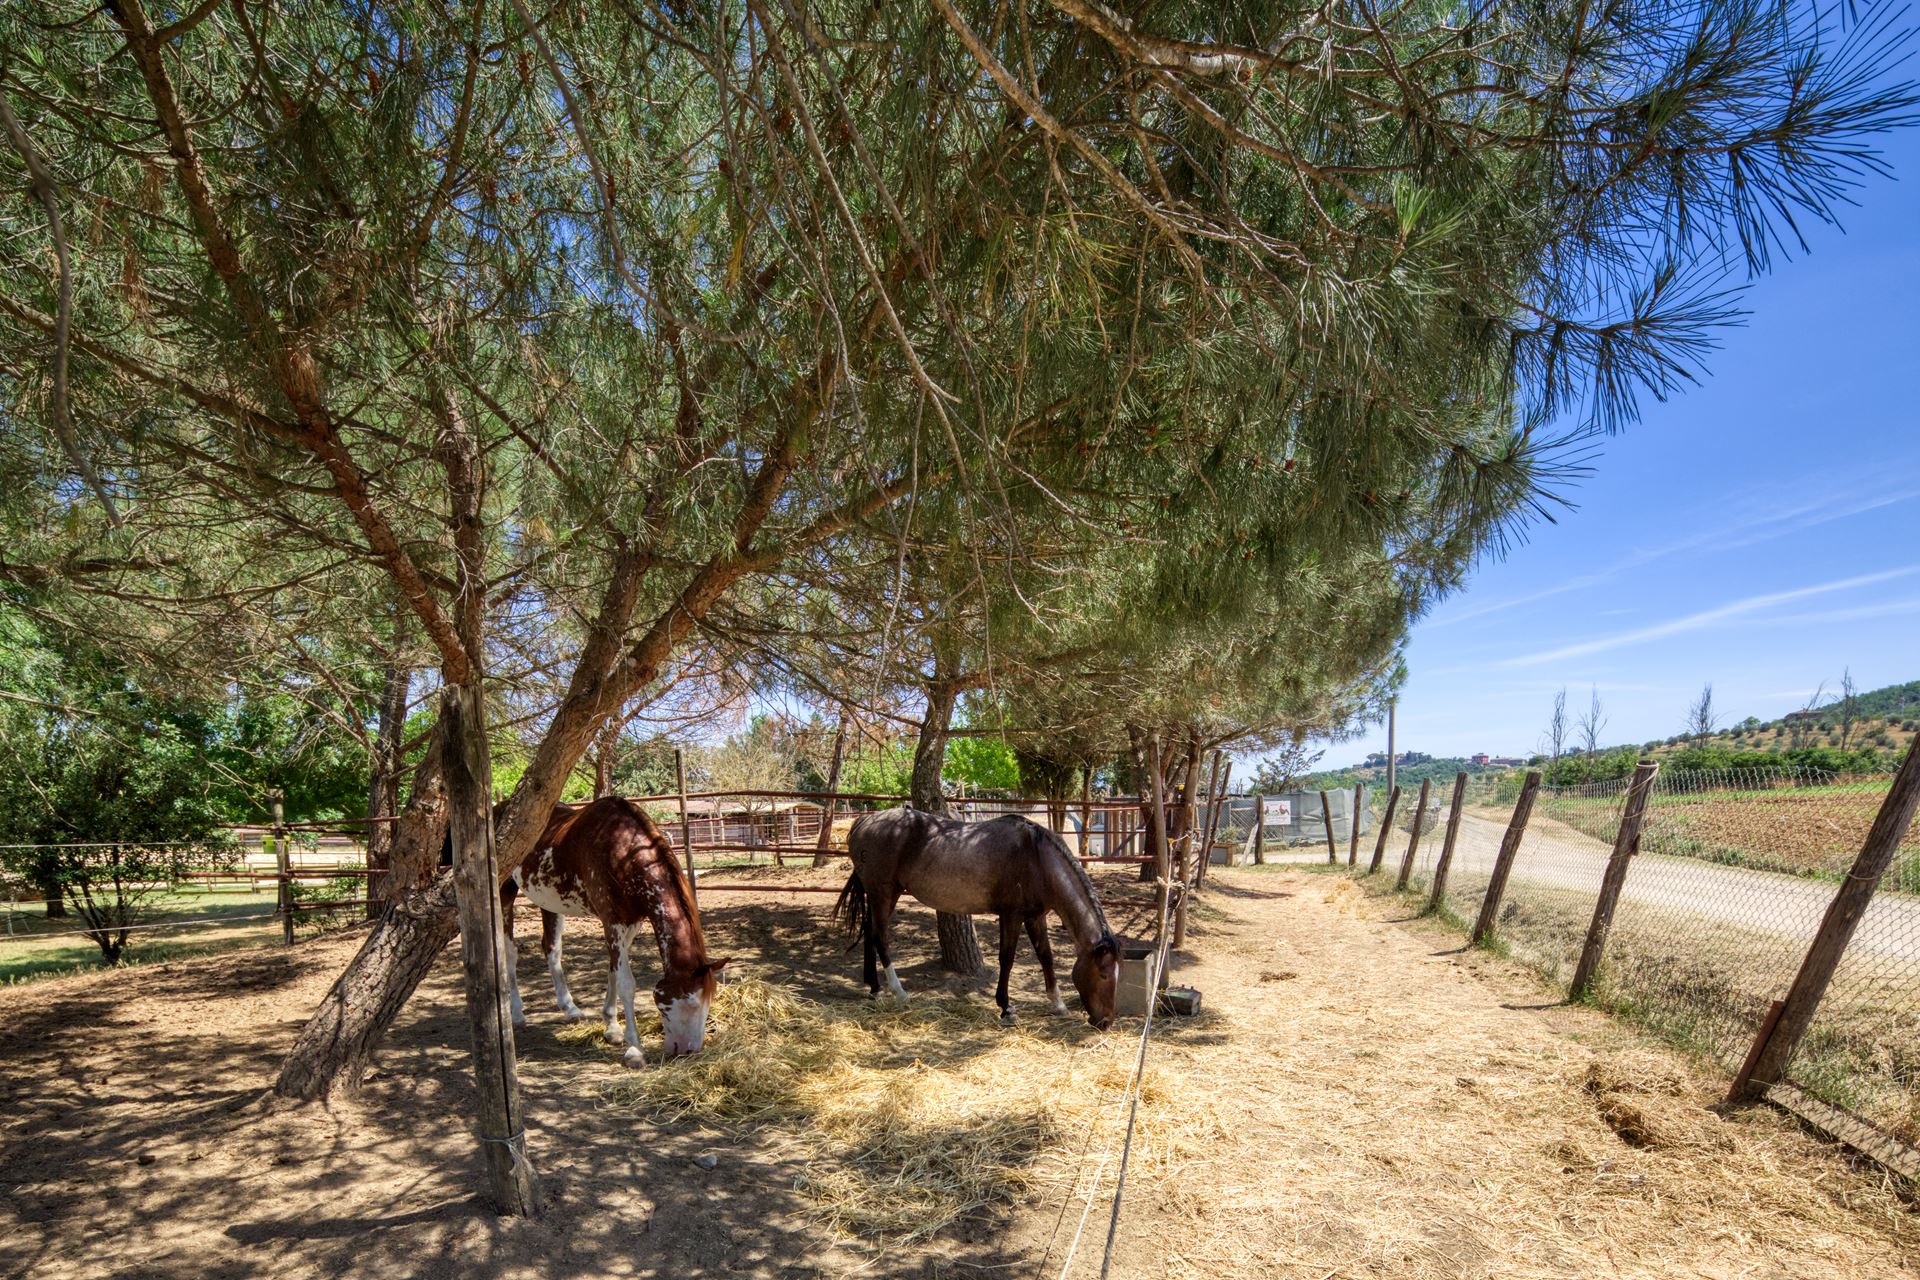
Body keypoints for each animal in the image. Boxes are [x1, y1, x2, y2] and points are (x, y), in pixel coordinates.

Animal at [503, 794, 725, 1066]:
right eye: (692, 1003)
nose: (688, 1050)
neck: (625, 853)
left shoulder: (632, 922)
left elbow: (613, 973)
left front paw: (611, 1027)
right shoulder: (613, 921)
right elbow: (626, 982)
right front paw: (634, 1048)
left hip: (549, 902)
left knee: (551, 949)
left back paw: (570, 1008)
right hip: (504, 893)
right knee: (510, 953)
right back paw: (517, 1013)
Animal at [833, 809, 1121, 1028]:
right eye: (1104, 975)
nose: (1106, 1022)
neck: (1036, 858)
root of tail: (863, 821)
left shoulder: (1035, 916)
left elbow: (1045, 956)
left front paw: (1058, 1003)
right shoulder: (1011, 915)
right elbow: (1007, 959)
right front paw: (1006, 1008)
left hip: (882, 895)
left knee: (869, 933)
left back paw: (875, 989)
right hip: (882, 892)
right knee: (880, 937)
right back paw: (899, 992)